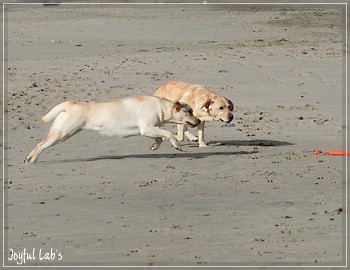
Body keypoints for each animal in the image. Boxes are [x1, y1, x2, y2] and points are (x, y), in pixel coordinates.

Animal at [23, 95, 200, 162]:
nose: (198, 121)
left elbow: (159, 137)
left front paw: (154, 146)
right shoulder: (147, 127)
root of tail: (70, 104)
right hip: (62, 133)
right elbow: (168, 133)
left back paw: (28, 157)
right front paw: (176, 144)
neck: (160, 107)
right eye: (189, 112)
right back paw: (33, 159)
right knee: (40, 144)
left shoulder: (148, 129)